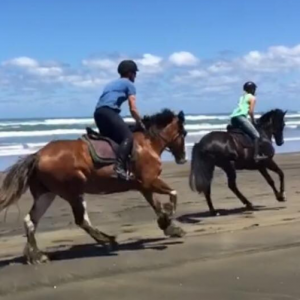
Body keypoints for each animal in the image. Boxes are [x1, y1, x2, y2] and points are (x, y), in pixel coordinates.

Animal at [0, 109, 186, 264]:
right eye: (183, 133)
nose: (183, 158)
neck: (147, 144)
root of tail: (37, 155)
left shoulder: (144, 186)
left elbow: (157, 205)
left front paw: (169, 226)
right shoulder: (150, 181)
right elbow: (174, 193)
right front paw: (169, 215)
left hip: (47, 194)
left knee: (31, 221)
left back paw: (38, 255)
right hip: (72, 191)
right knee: (81, 220)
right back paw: (108, 241)